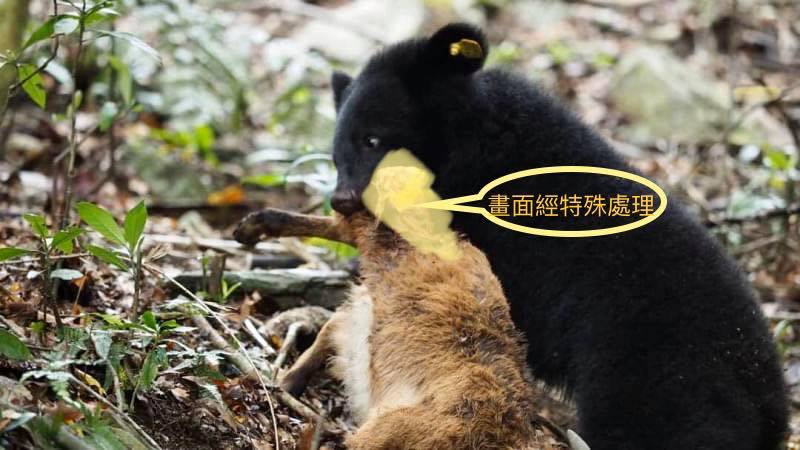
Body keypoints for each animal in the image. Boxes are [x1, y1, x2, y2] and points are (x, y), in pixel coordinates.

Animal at [324, 23, 788, 449]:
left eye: (372, 139)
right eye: (335, 154)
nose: (341, 199)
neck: (472, 141)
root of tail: (768, 399)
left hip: (656, 379)